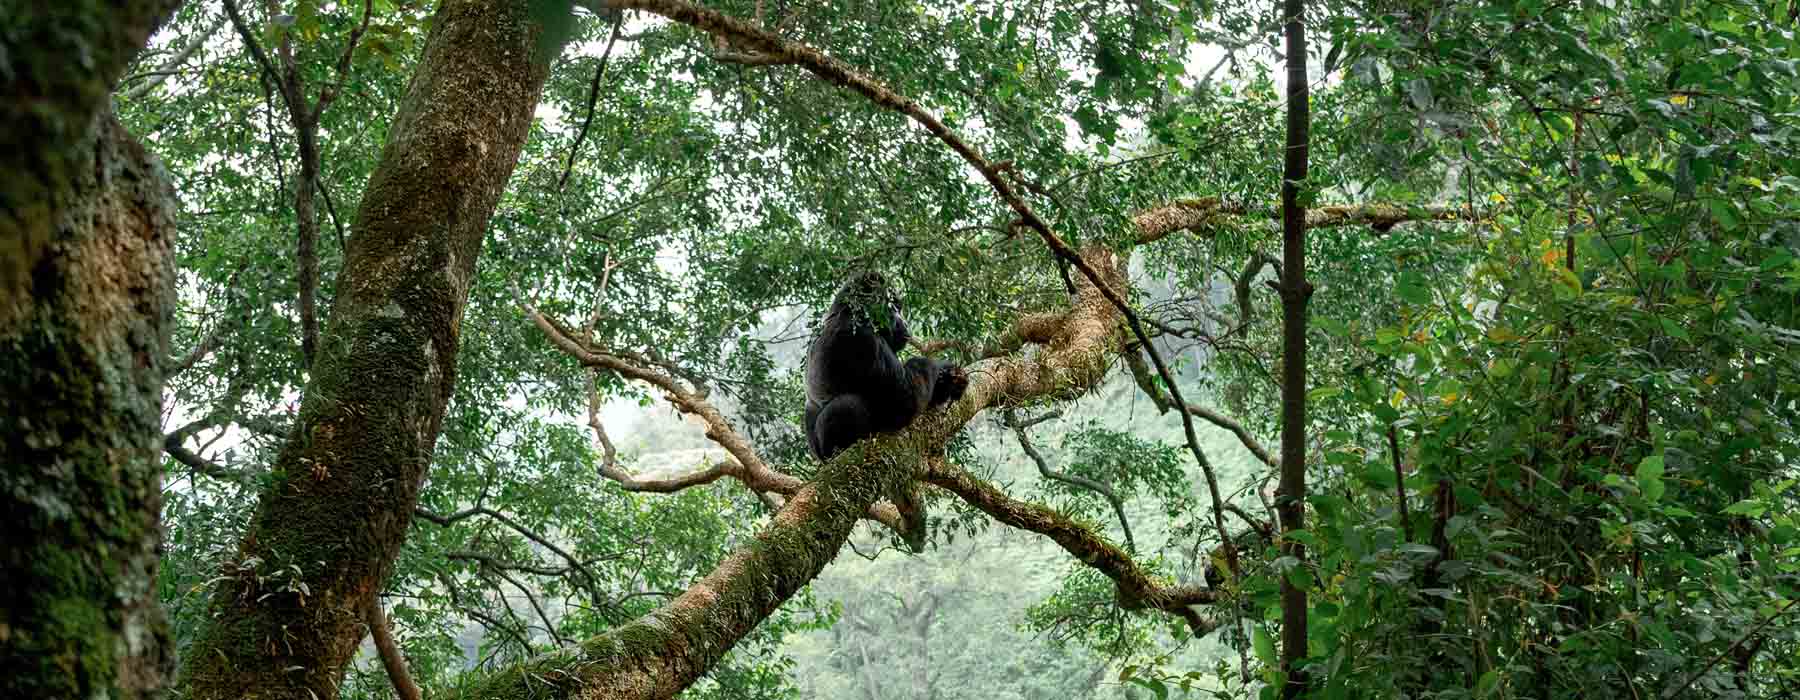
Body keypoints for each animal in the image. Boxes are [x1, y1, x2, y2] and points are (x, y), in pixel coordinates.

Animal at [806, 269, 972, 460]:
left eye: (899, 308)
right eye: (893, 308)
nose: (904, 322)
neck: (849, 312)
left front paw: (952, 379)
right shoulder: (864, 339)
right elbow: (906, 402)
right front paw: (939, 367)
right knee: (847, 405)